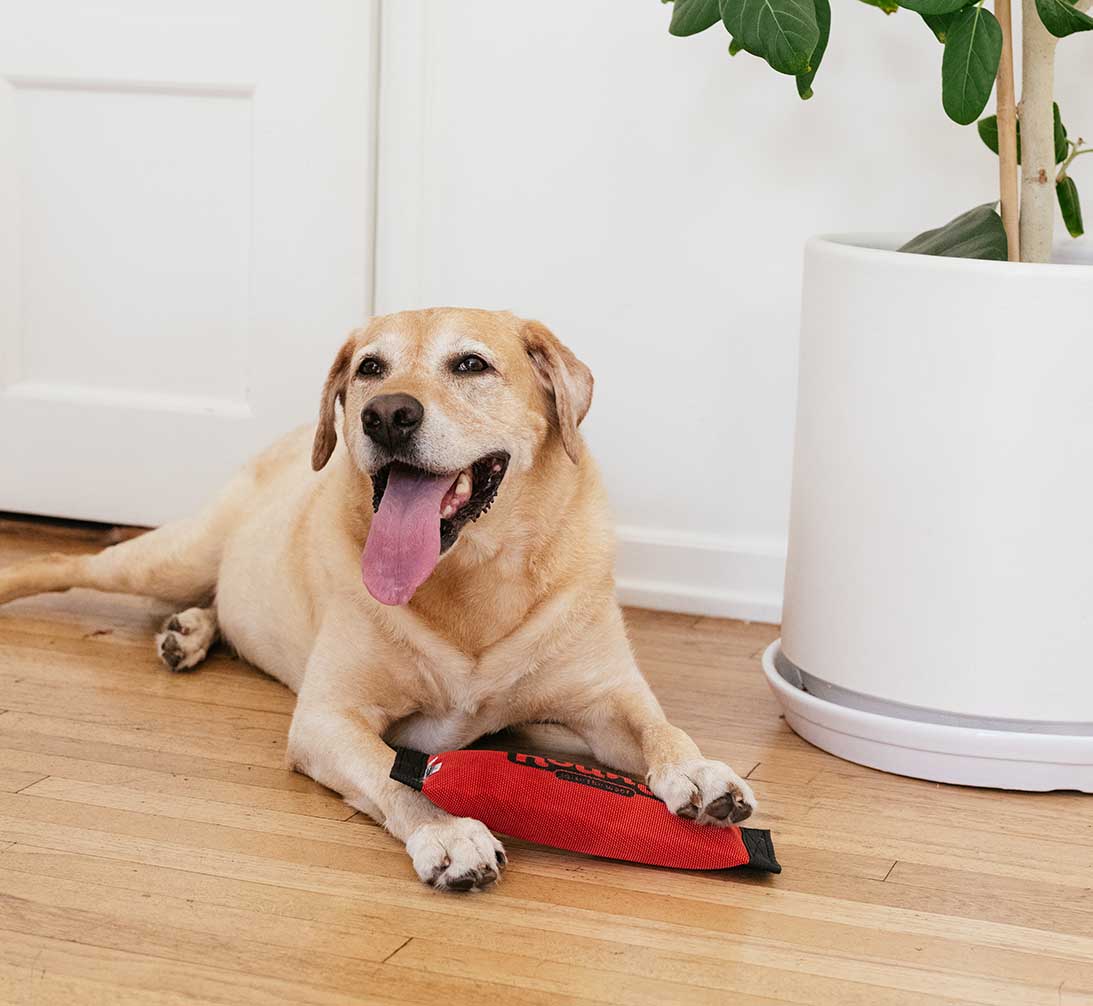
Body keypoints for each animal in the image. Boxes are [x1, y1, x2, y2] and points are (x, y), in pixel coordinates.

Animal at [0, 310, 756, 892]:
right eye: (369, 367)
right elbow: (400, 780)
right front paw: (448, 833)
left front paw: (698, 772)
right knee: (73, 564)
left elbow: (659, 726)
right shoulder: (328, 719)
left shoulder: (603, 699)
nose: (386, 414)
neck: (472, 578)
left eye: (471, 364)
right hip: (171, 556)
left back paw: (189, 630)